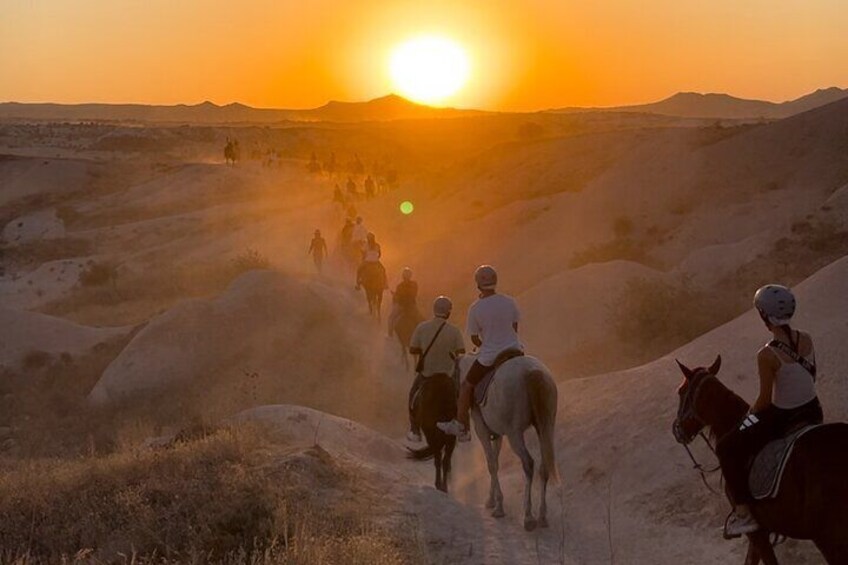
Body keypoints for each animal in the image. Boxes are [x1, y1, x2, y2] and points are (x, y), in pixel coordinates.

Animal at [460, 352, 560, 528]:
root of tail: (532, 371)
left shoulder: (482, 431)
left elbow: (491, 464)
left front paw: (498, 506)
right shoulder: (498, 435)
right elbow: (495, 462)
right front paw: (491, 500)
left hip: (514, 434)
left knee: (528, 463)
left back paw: (528, 516)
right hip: (546, 427)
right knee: (544, 466)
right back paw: (542, 516)